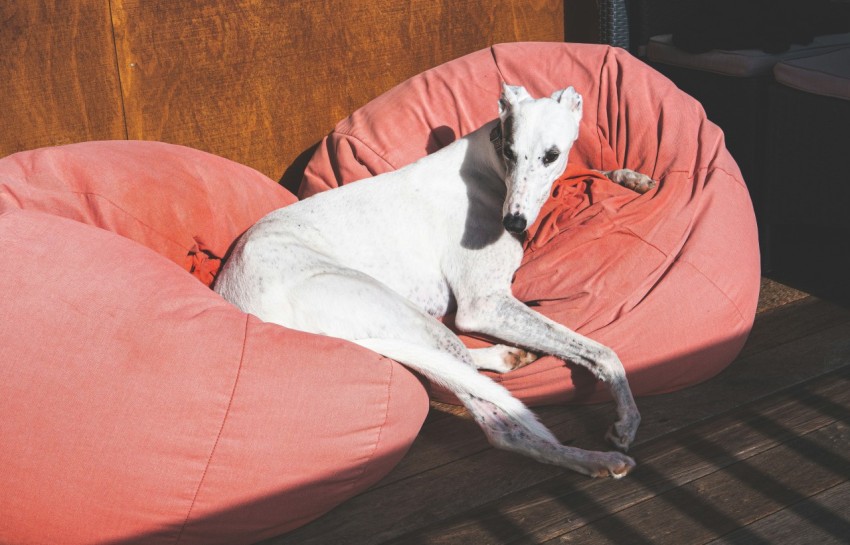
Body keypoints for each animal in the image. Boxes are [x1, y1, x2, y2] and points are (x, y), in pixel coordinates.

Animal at [214, 82, 648, 476]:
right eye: (510, 153)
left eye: (551, 155)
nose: (513, 223)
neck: (488, 166)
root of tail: (242, 303)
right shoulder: (483, 305)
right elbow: (603, 352)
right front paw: (627, 419)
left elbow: (585, 169)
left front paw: (629, 176)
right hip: (392, 308)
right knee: (499, 424)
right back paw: (593, 460)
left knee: (457, 366)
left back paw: (506, 356)